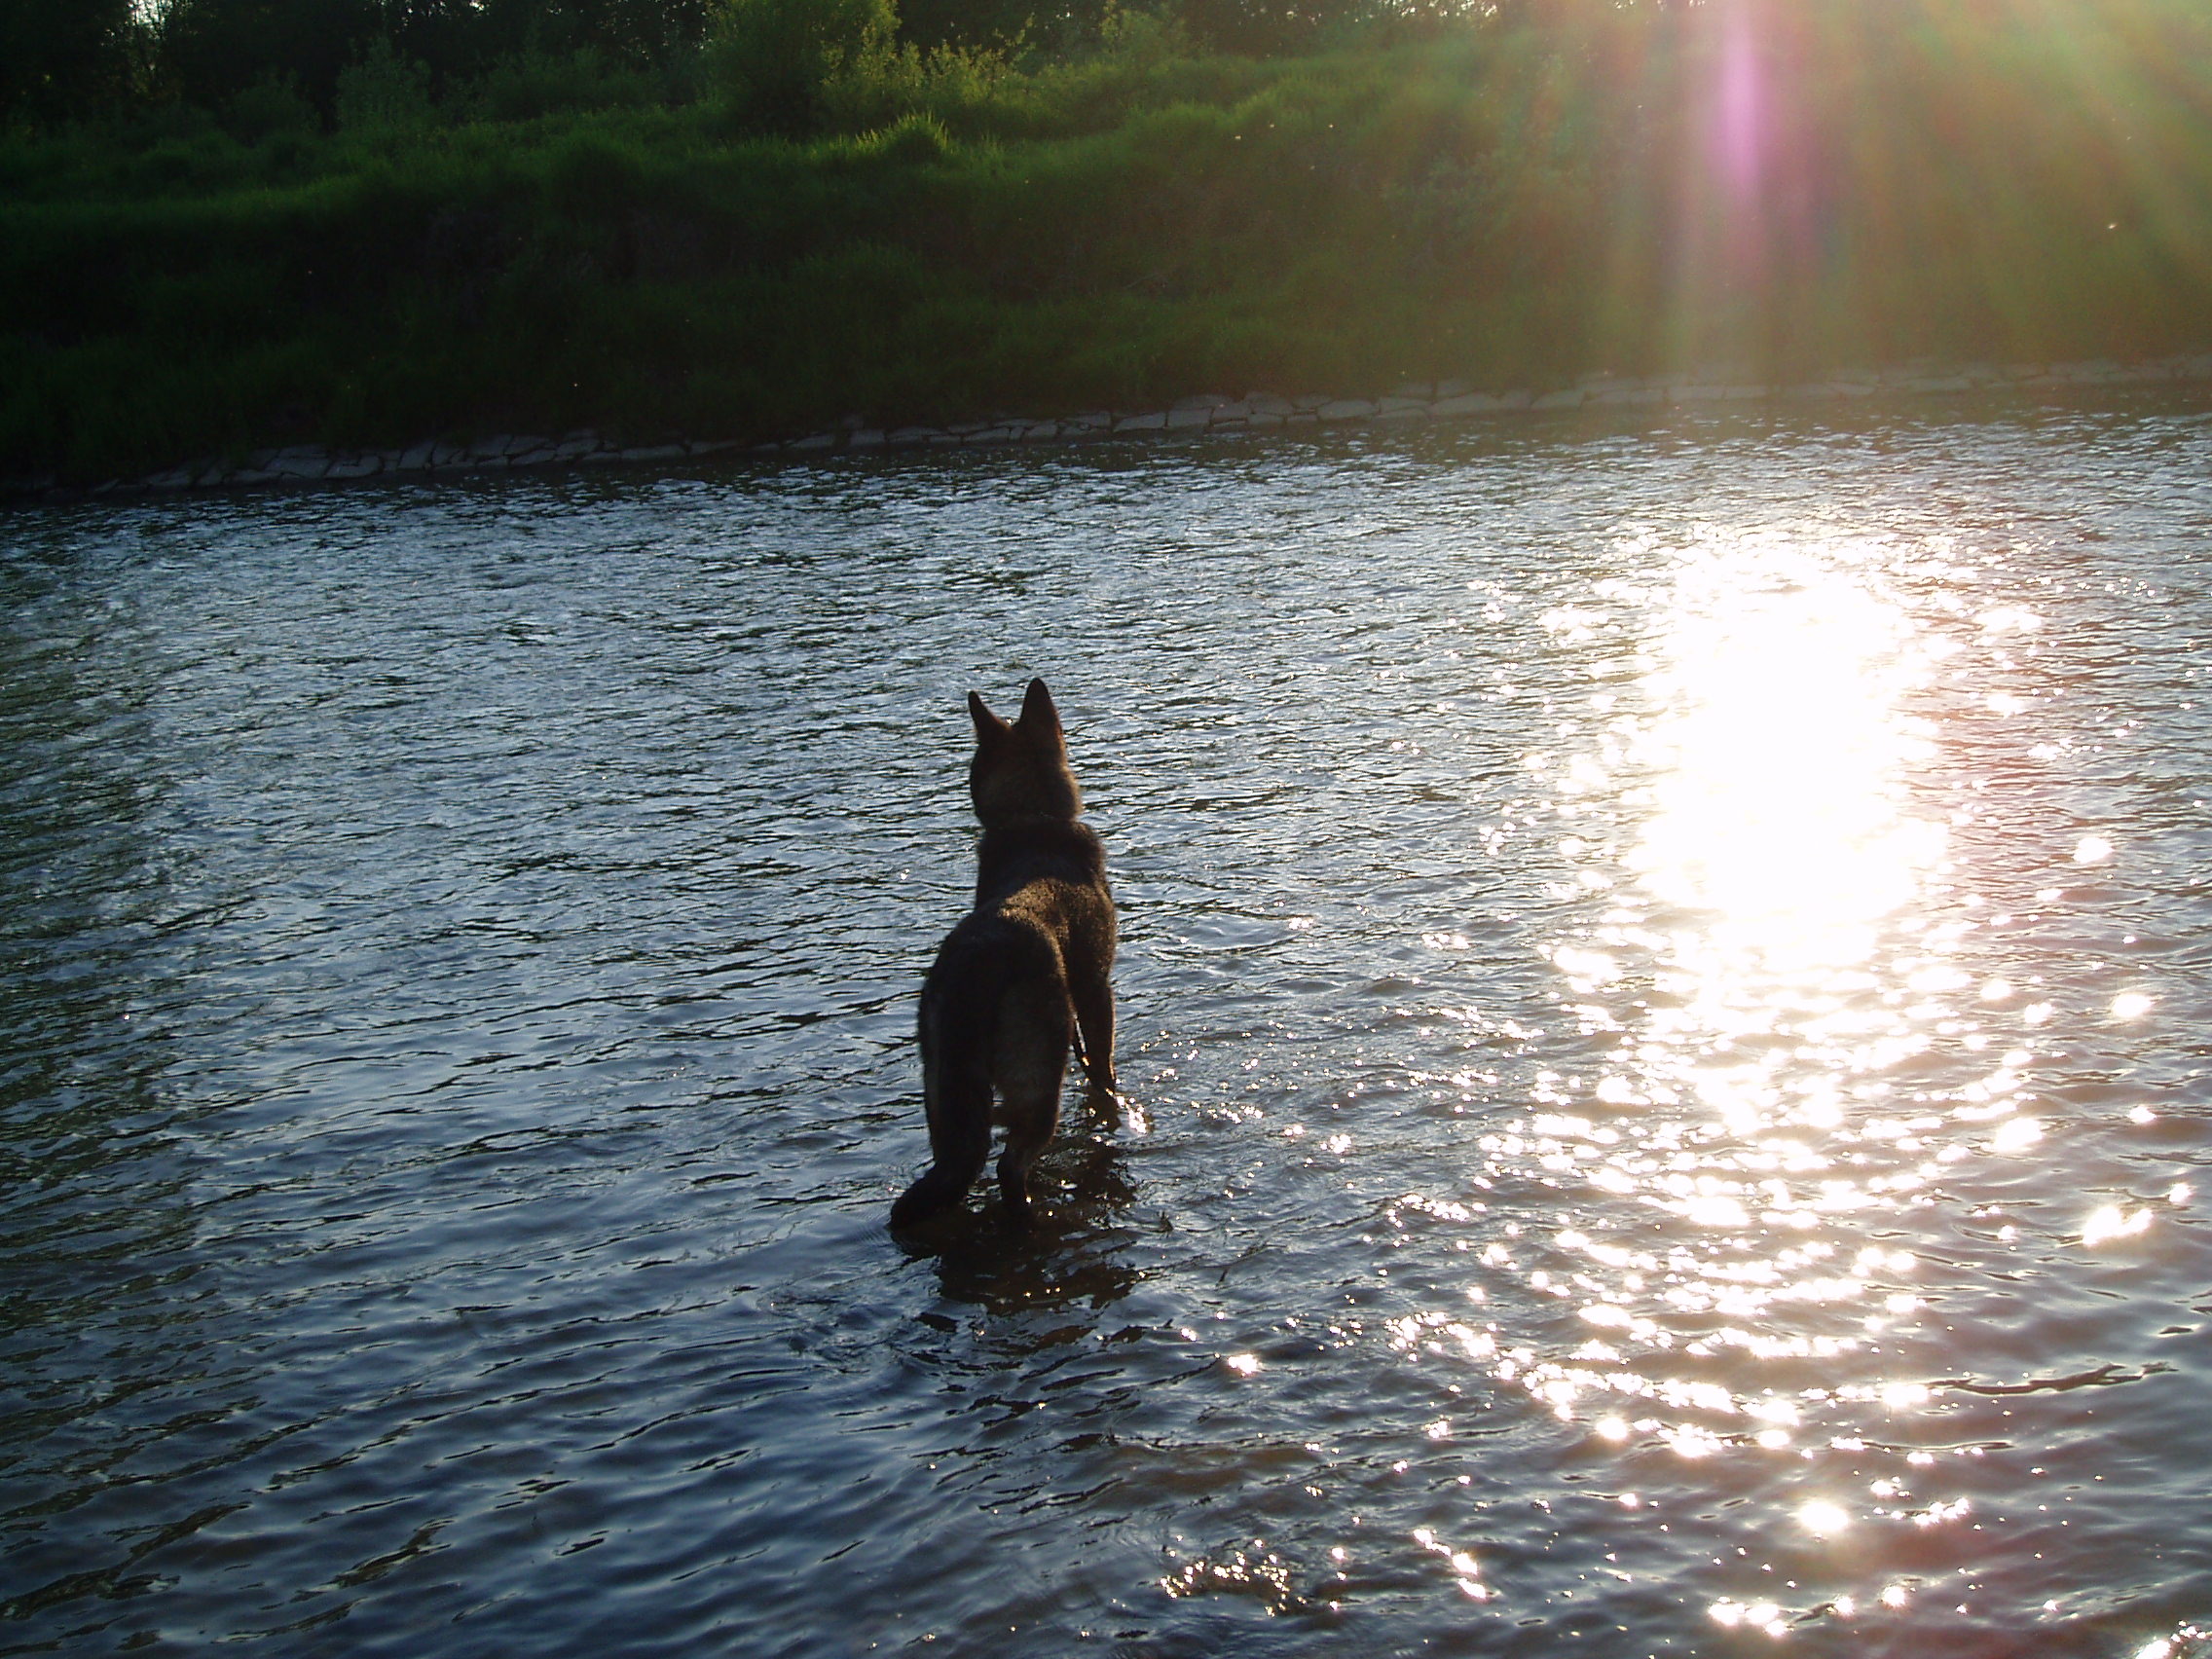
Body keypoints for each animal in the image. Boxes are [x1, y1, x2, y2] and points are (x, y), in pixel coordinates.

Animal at [889, 677, 1115, 1238]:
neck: (1031, 822)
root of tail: (976, 966)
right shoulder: (1096, 991)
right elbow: (1103, 1067)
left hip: (945, 1099)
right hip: (1037, 1085)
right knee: (1010, 1168)